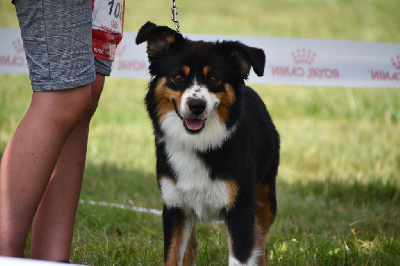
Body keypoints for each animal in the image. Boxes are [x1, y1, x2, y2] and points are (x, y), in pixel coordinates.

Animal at [136, 21, 280, 264]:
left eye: (214, 78)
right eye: (177, 77)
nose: (196, 105)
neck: (199, 145)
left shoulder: (241, 209)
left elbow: (243, 255)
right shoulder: (175, 206)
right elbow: (172, 256)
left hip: (266, 195)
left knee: (261, 242)